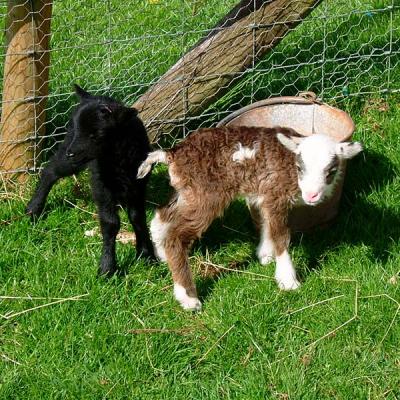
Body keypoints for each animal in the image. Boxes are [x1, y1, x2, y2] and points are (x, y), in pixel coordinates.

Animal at [26, 84, 155, 276]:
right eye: (79, 129)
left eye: (98, 133)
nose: (71, 153)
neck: (119, 159)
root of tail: (92, 96)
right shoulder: (101, 185)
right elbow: (110, 223)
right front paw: (107, 268)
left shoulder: (139, 184)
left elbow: (138, 217)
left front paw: (146, 255)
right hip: (71, 154)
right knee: (51, 171)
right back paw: (33, 209)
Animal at [137, 126, 362, 310]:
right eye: (300, 168)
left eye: (331, 171)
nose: (311, 195)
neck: (287, 162)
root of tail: (172, 153)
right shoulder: (276, 196)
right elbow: (281, 236)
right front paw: (288, 281)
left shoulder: (265, 194)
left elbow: (266, 224)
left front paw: (265, 255)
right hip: (206, 195)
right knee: (176, 236)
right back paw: (189, 298)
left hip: (186, 192)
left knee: (161, 217)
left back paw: (162, 255)